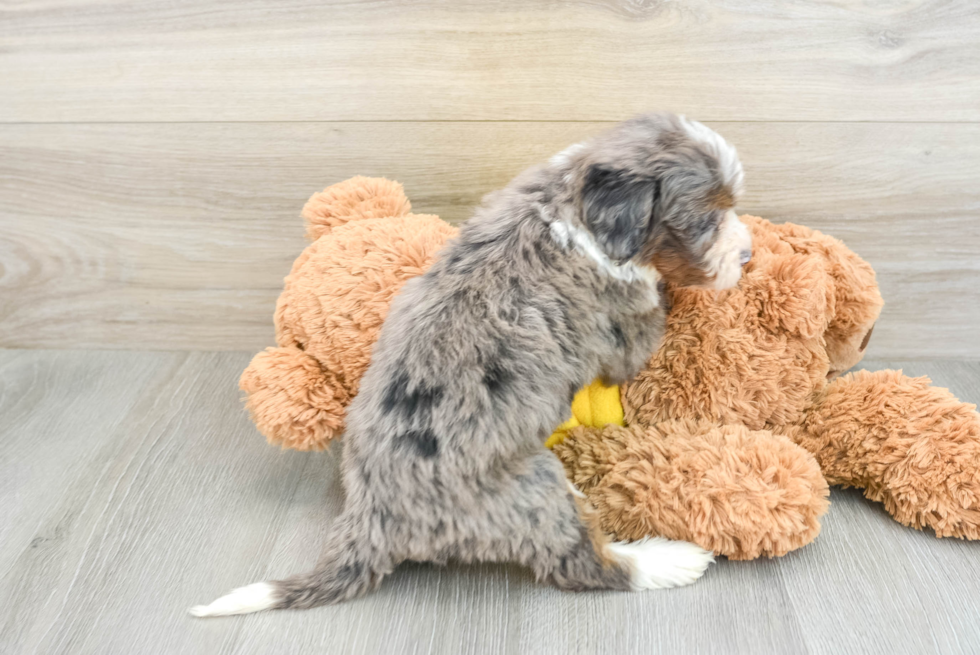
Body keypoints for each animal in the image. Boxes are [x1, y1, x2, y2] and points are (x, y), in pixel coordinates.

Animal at [195, 110, 756, 616]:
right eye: (704, 221)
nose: (749, 255)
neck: (570, 209)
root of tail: (371, 518)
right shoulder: (623, 333)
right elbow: (652, 317)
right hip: (533, 491)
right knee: (581, 563)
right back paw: (668, 560)